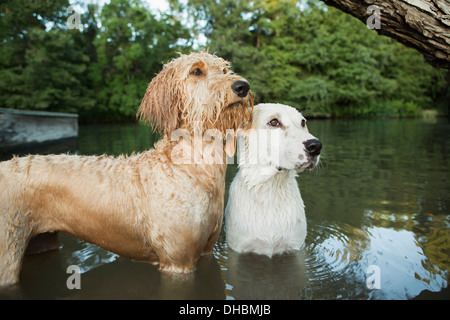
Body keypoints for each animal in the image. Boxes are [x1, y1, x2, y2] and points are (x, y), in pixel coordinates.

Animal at [227, 104, 322, 256]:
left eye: (302, 122)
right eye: (274, 122)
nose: (316, 146)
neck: (270, 190)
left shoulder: (296, 247)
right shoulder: (237, 247)